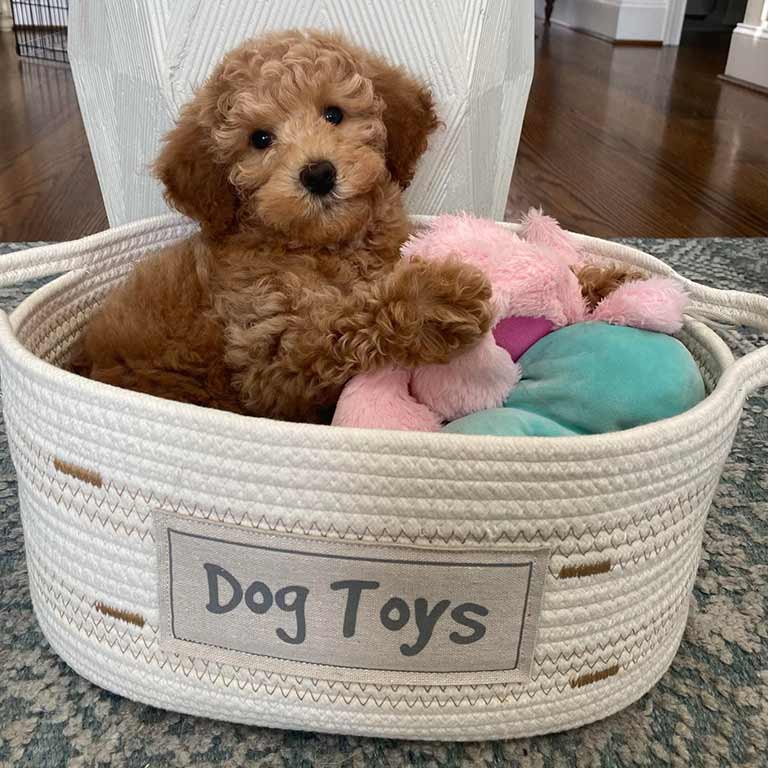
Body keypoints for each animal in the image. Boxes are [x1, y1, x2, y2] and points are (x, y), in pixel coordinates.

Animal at [72, 31, 492, 420]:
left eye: (334, 114)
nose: (318, 174)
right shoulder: (267, 361)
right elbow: (334, 327)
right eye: (260, 139)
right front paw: (433, 299)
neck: (326, 244)